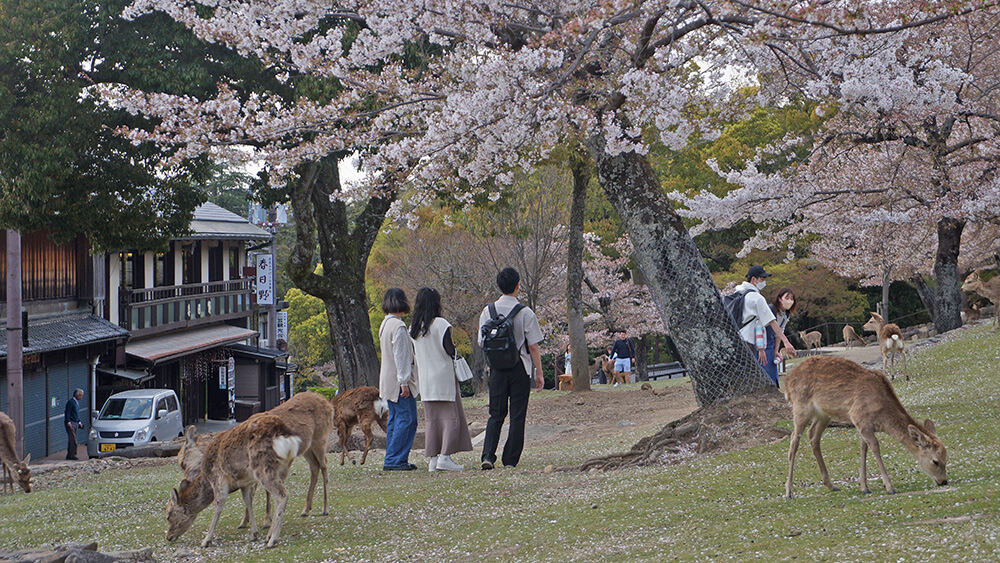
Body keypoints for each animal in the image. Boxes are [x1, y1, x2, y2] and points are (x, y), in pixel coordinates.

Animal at [166, 412, 300, 548]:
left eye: (168, 516)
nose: (168, 537)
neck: (206, 477)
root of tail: (283, 432)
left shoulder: (218, 480)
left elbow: (219, 505)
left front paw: (206, 540)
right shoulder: (245, 483)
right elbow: (248, 501)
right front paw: (253, 534)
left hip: (263, 468)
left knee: (282, 494)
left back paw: (272, 540)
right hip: (283, 468)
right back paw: (268, 535)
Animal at [784, 356, 948, 498]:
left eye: (946, 457)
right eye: (935, 461)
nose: (943, 481)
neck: (883, 417)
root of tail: (788, 382)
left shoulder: (863, 424)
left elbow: (864, 448)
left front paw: (865, 487)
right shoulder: (859, 416)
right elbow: (875, 446)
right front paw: (890, 487)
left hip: (823, 414)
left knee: (813, 435)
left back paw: (831, 485)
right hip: (801, 407)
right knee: (794, 440)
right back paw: (789, 492)